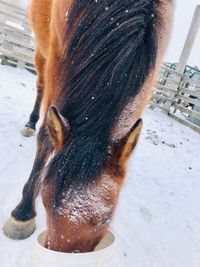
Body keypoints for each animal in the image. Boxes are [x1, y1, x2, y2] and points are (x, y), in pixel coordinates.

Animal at [2, 0, 173, 253]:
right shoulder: (58, 59)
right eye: (44, 202)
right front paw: (22, 214)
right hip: (42, 51)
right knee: (40, 85)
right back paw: (30, 122)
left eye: (106, 218)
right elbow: (47, 136)